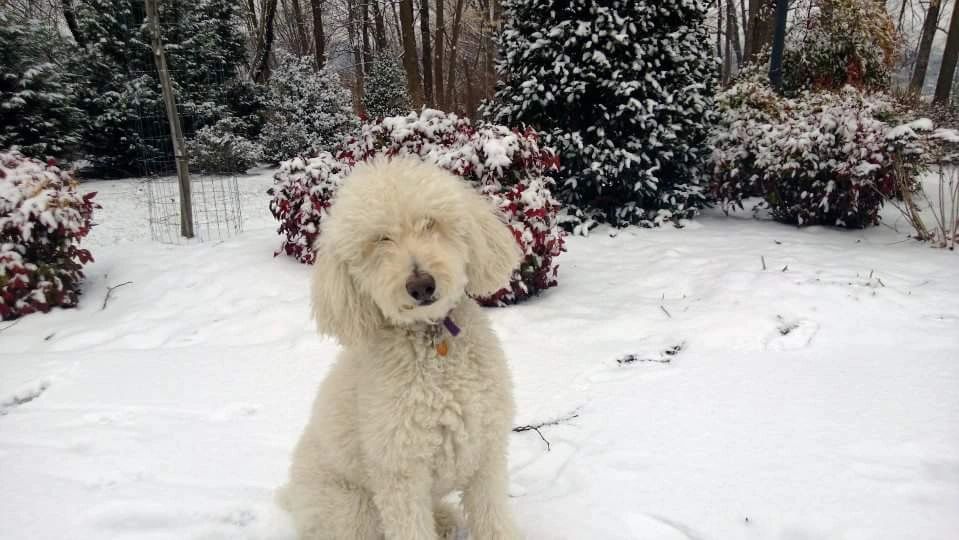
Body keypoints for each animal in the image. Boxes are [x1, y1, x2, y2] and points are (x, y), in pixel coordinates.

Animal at [280, 157, 524, 540]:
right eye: (381, 239)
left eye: (430, 223)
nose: (421, 285)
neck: (432, 340)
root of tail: (293, 497)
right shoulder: (400, 473)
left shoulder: (486, 453)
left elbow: (492, 518)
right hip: (353, 509)